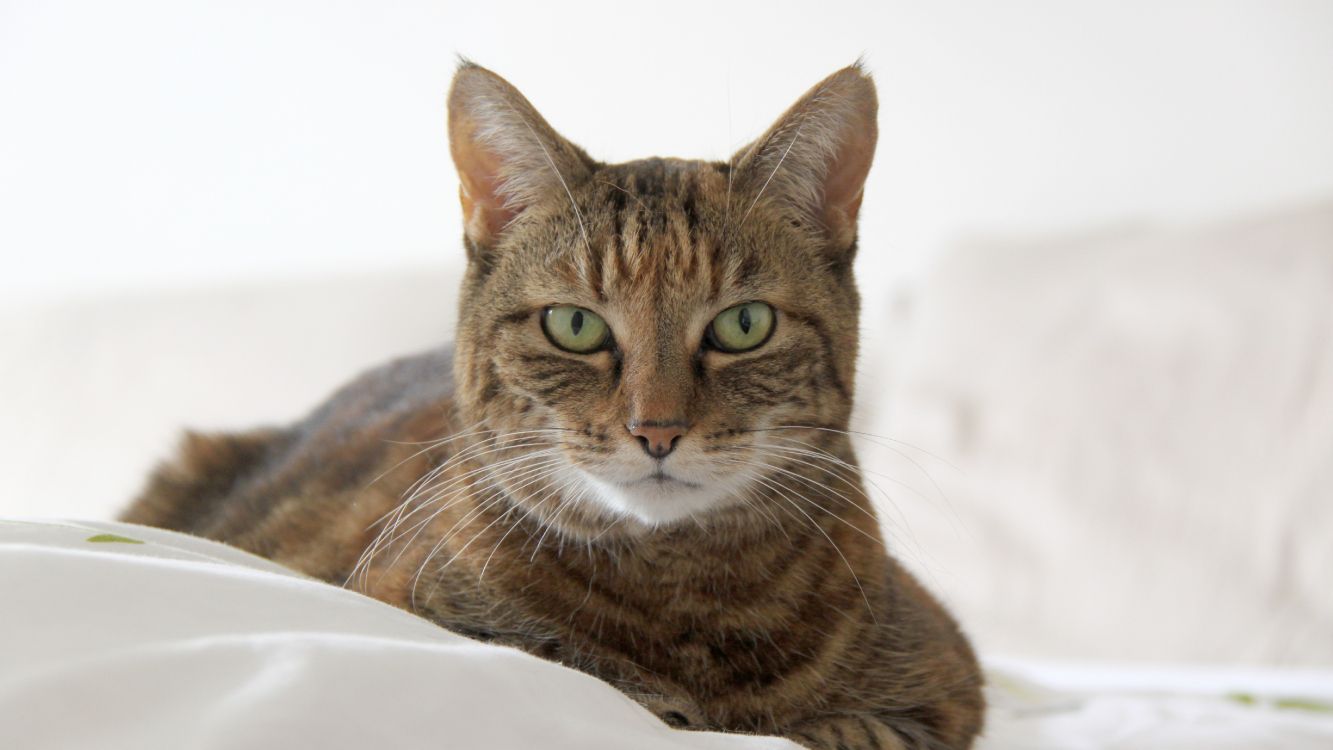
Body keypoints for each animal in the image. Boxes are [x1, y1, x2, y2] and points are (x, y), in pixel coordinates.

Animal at [122, 61, 981, 746]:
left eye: (744, 325)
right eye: (575, 326)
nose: (655, 429)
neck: (679, 594)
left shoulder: (943, 679)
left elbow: (844, 729)